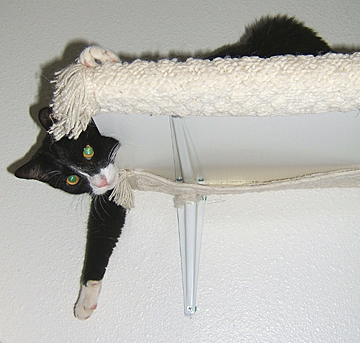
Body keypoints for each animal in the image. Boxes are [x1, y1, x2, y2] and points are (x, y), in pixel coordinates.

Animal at [14, 13, 332, 320]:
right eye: (72, 180)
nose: (100, 182)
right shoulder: (116, 189)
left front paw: (95, 59)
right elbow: (102, 233)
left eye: (88, 151)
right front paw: (86, 295)